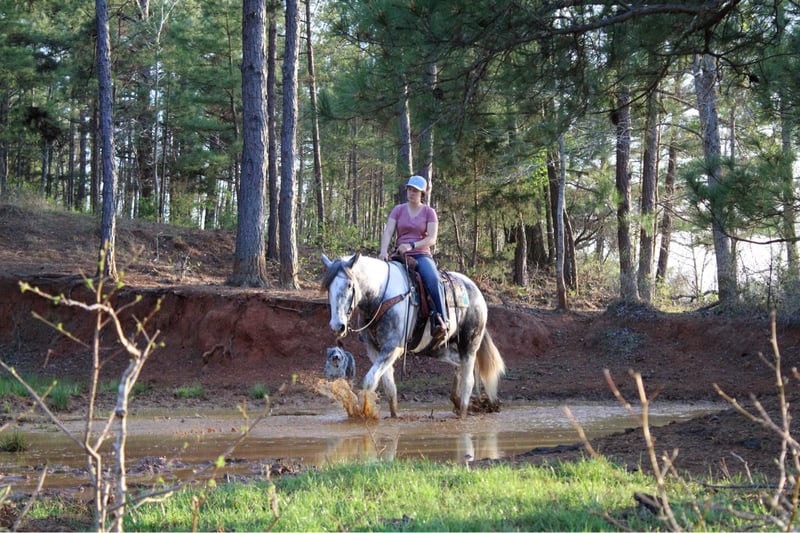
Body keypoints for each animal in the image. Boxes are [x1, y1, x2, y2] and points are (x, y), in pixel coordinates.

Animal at [321, 252, 506, 418]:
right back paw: (457, 400)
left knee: (469, 378)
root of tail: (475, 290)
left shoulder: (392, 347)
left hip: (470, 343)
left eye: (349, 285)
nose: (337, 325)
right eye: (329, 287)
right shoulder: (374, 349)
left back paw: (463, 412)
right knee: (458, 364)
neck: (381, 295)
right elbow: (388, 385)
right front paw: (394, 415)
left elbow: (370, 380)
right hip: (437, 348)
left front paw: (362, 413)